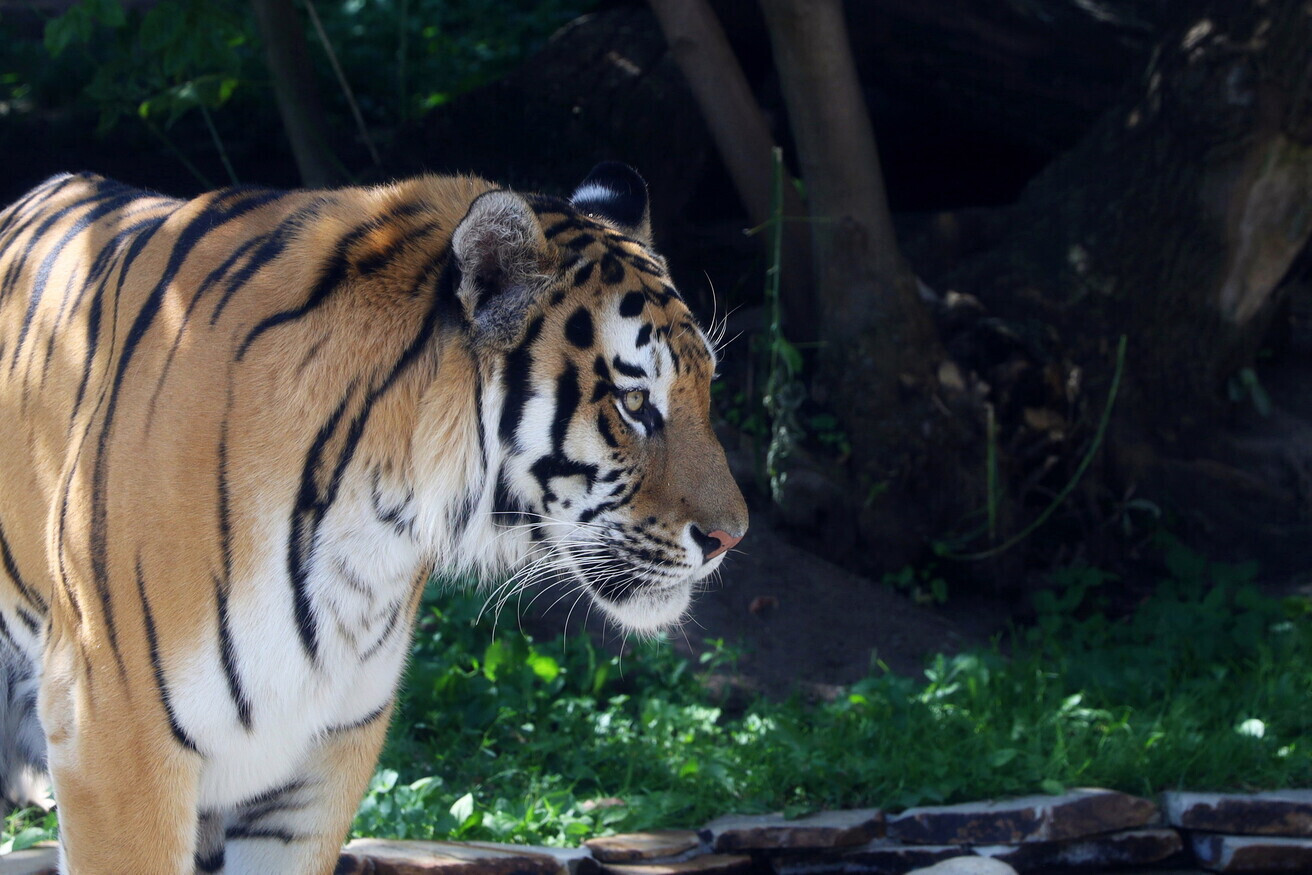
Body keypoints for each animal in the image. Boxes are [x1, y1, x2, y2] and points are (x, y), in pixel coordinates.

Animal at [0, 162, 747, 874]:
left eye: (706, 385)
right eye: (633, 402)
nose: (730, 537)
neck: (374, 523)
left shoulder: (322, 760)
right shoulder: (116, 741)